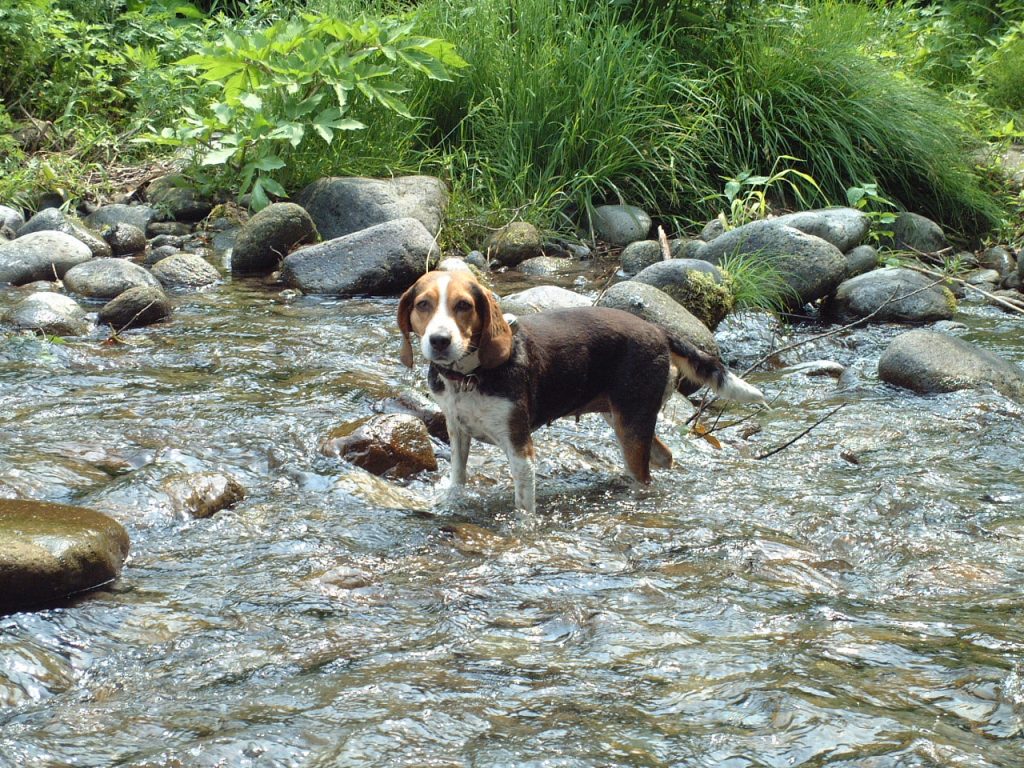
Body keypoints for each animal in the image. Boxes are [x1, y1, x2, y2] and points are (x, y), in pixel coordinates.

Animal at [395, 268, 765, 518]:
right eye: (424, 305)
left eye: (464, 305)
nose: (440, 341)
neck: (470, 375)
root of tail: (658, 329)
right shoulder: (457, 431)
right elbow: (457, 478)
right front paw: (449, 504)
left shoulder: (520, 447)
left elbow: (523, 508)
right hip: (621, 417)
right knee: (664, 457)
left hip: (631, 422)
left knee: (645, 474)